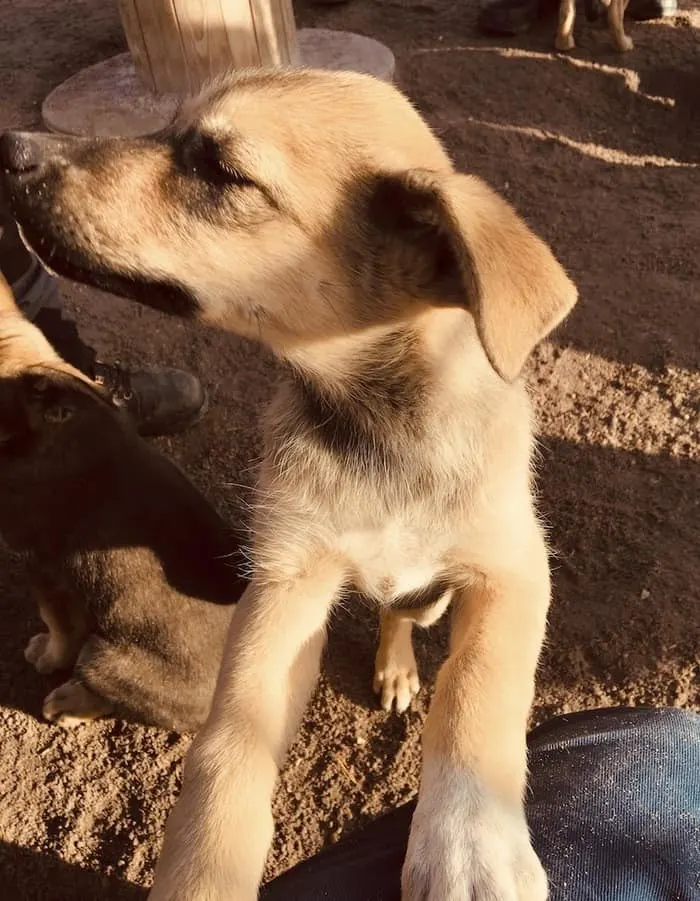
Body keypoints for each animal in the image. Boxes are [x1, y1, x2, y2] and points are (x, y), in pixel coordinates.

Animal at [0, 270, 246, 728]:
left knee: (109, 695)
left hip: (105, 657)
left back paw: (69, 702)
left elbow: (59, 628)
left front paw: (48, 657)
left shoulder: (45, 567)